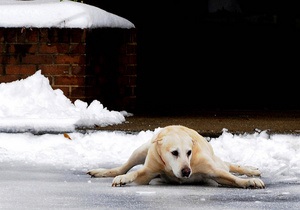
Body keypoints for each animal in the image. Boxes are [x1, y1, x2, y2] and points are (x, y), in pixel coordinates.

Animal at [87, 124, 264, 189]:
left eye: (189, 152)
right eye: (174, 153)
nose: (186, 171)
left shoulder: (213, 171)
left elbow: (232, 178)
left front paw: (250, 181)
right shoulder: (149, 170)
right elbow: (135, 173)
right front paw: (123, 179)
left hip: (217, 163)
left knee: (229, 166)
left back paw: (252, 170)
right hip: (142, 150)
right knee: (124, 167)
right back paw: (102, 171)